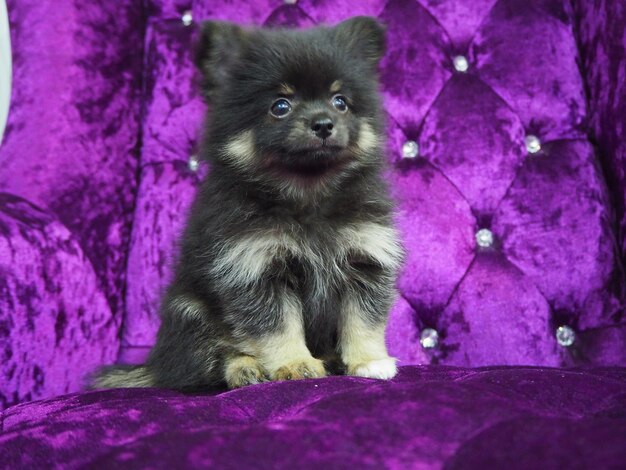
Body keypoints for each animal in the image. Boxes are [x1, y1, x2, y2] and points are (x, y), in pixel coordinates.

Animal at [92, 16, 404, 392]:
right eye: (280, 106)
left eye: (340, 101)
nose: (323, 123)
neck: (307, 195)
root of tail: (157, 364)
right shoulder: (254, 267)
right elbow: (277, 325)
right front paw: (295, 363)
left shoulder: (365, 257)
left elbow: (363, 320)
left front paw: (368, 361)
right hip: (190, 311)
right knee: (212, 359)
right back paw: (246, 369)